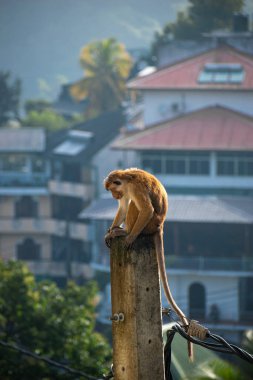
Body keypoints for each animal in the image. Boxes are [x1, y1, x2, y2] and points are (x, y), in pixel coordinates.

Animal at [104, 168, 193, 358]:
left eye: (113, 190)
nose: (114, 196)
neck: (126, 180)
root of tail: (160, 226)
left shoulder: (135, 188)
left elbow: (145, 209)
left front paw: (129, 237)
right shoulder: (126, 191)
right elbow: (123, 207)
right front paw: (110, 232)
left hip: (150, 224)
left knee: (136, 206)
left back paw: (125, 232)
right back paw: (116, 230)